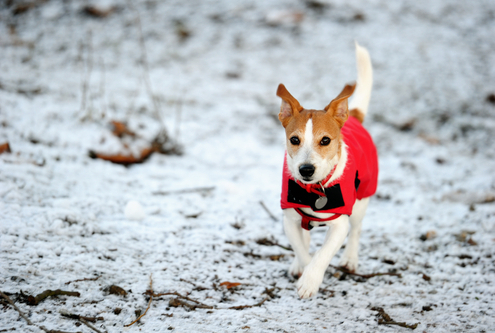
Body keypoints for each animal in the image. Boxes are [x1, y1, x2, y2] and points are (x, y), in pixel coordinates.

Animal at [278, 42, 378, 298]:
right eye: (294, 140)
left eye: (325, 140)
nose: (306, 169)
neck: (314, 190)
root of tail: (353, 117)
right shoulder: (290, 219)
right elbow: (302, 250)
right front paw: (302, 267)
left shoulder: (339, 224)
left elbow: (322, 255)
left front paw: (310, 280)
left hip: (362, 199)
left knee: (357, 229)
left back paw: (350, 259)